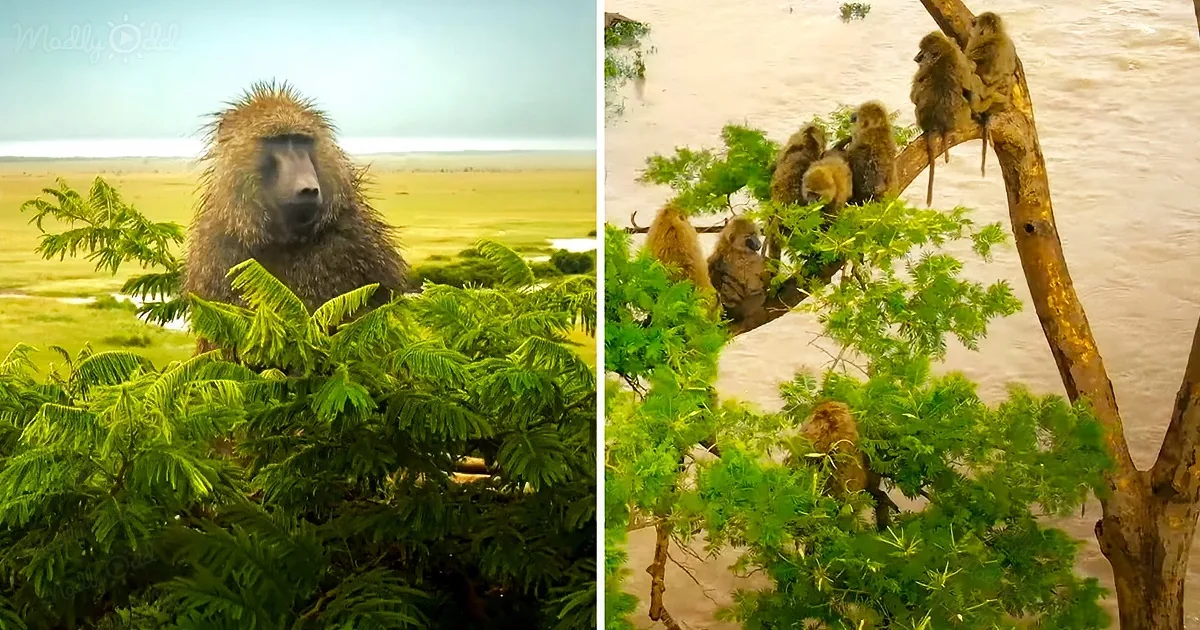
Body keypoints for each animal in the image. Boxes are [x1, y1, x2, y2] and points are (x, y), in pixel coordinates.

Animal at [183, 80, 410, 354]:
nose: (308, 188)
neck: (284, 240)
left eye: (301, 141)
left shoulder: (356, 242)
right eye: (278, 141)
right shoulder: (215, 254)